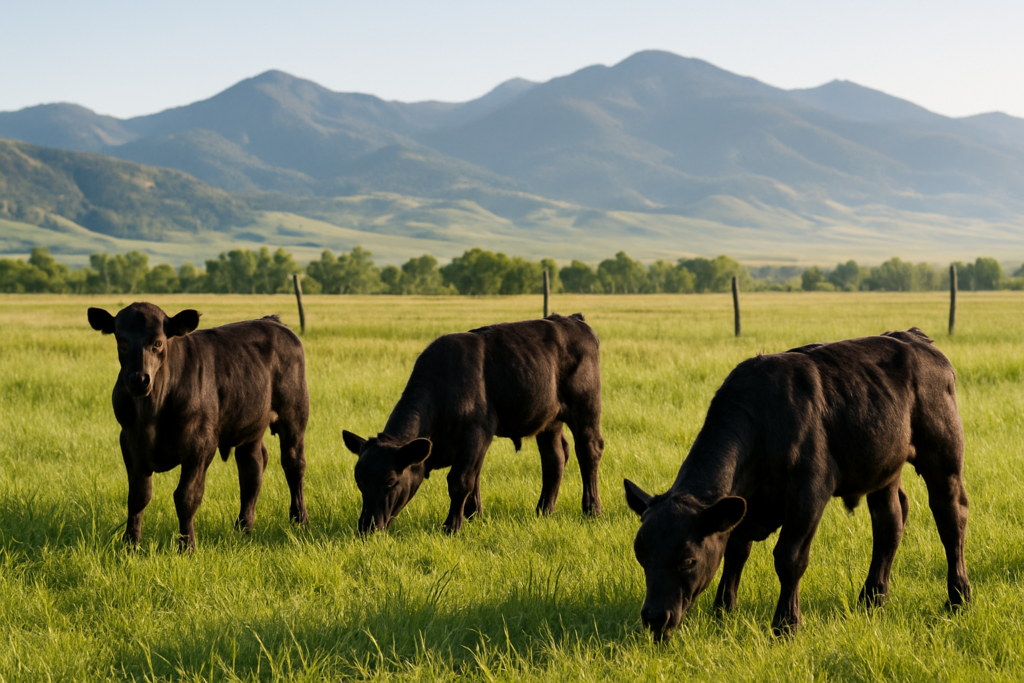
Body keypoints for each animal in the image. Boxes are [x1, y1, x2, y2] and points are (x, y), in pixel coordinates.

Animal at [87, 302, 308, 551]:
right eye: (122, 343)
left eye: (158, 343)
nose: (138, 379)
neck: (152, 413)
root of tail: (272, 321)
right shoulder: (129, 441)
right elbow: (138, 495)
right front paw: (130, 544)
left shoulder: (200, 444)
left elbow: (186, 496)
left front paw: (187, 546)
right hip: (250, 425)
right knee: (252, 470)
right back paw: (243, 528)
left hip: (294, 414)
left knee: (293, 464)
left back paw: (299, 519)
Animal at [342, 313, 604, 534]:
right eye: (359, 480)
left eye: (390, 481)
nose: (367, 527)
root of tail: (572, 319)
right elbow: (474, 478)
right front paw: (473, 517)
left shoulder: (476, 433)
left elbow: (460, 481)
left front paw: (452, 526)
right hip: (549, 420)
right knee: (554, 459)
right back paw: (544, 510)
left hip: (586, 408)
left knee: (588, 451)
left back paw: (592, 509)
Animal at [625, 329, 971, 641]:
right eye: (641, 556)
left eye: (687, 561)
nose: (655, 617)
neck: (762, 421)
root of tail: (914, 338)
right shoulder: (743, 507)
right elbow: (736, 551)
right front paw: (724, 610)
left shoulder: (809, 492)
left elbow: (789, 558)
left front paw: (786, 625)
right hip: (884, 469)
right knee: (889, 524)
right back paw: (872, 598)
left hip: (943, 458)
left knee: (951, 517)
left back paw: (959, 596)